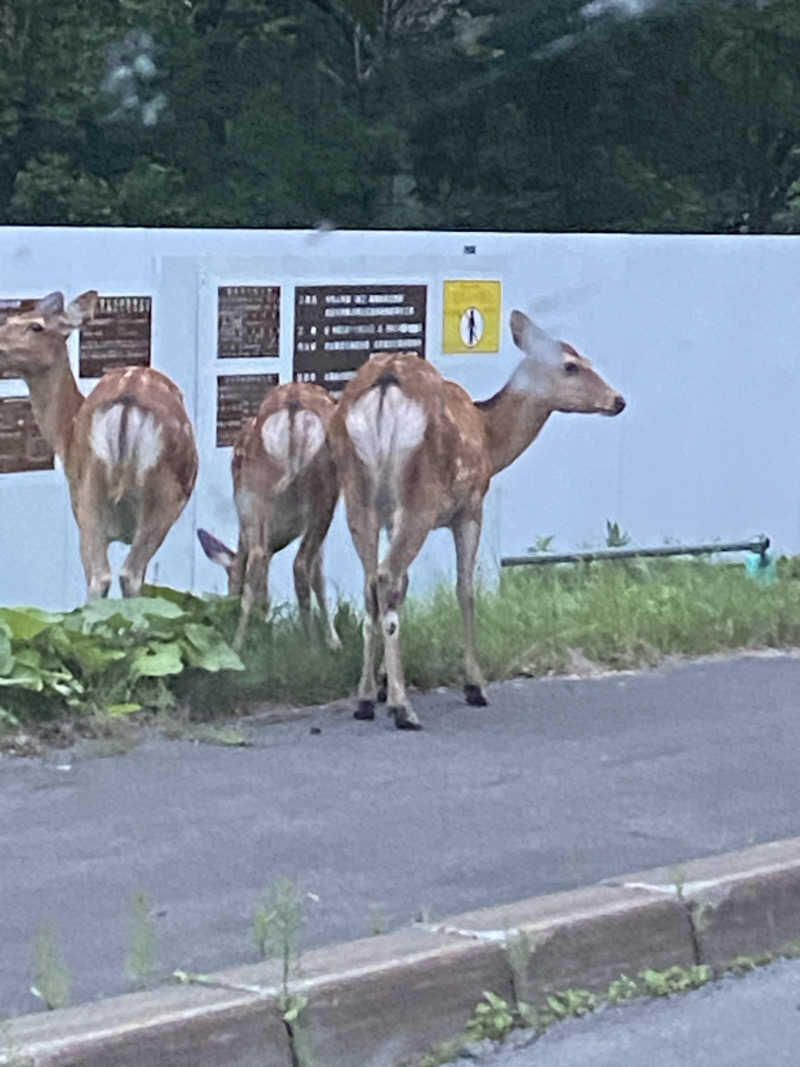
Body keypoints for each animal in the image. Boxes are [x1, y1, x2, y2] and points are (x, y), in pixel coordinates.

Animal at [0, 292, 199, 601]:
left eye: (36, 326)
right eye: (9, 319)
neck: (65, 431)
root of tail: (127, 402)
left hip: (96, 490)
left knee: (108, 576)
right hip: (143, 493)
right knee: (121, 575)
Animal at [199, 379, 343, 653]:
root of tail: (293, 409)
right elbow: (319, 573)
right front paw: (333, 640)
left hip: (255, 493)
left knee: (256, 561)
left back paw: (237, 644)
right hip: (326, 491)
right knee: (301, 565)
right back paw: (312, 647)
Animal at [328, 305, 631, 729]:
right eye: (571, 365)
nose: (618, 400)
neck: (489, 437)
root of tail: (386, 385)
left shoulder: (389, 515)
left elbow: (402, 588)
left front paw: (383, 683)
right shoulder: (471, 506)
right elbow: (466, 589)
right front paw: (474, 685)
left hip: (358, 496)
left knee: (374, 583)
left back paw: (366, 699)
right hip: (420, 498)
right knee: (386, 576)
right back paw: (404, 709)